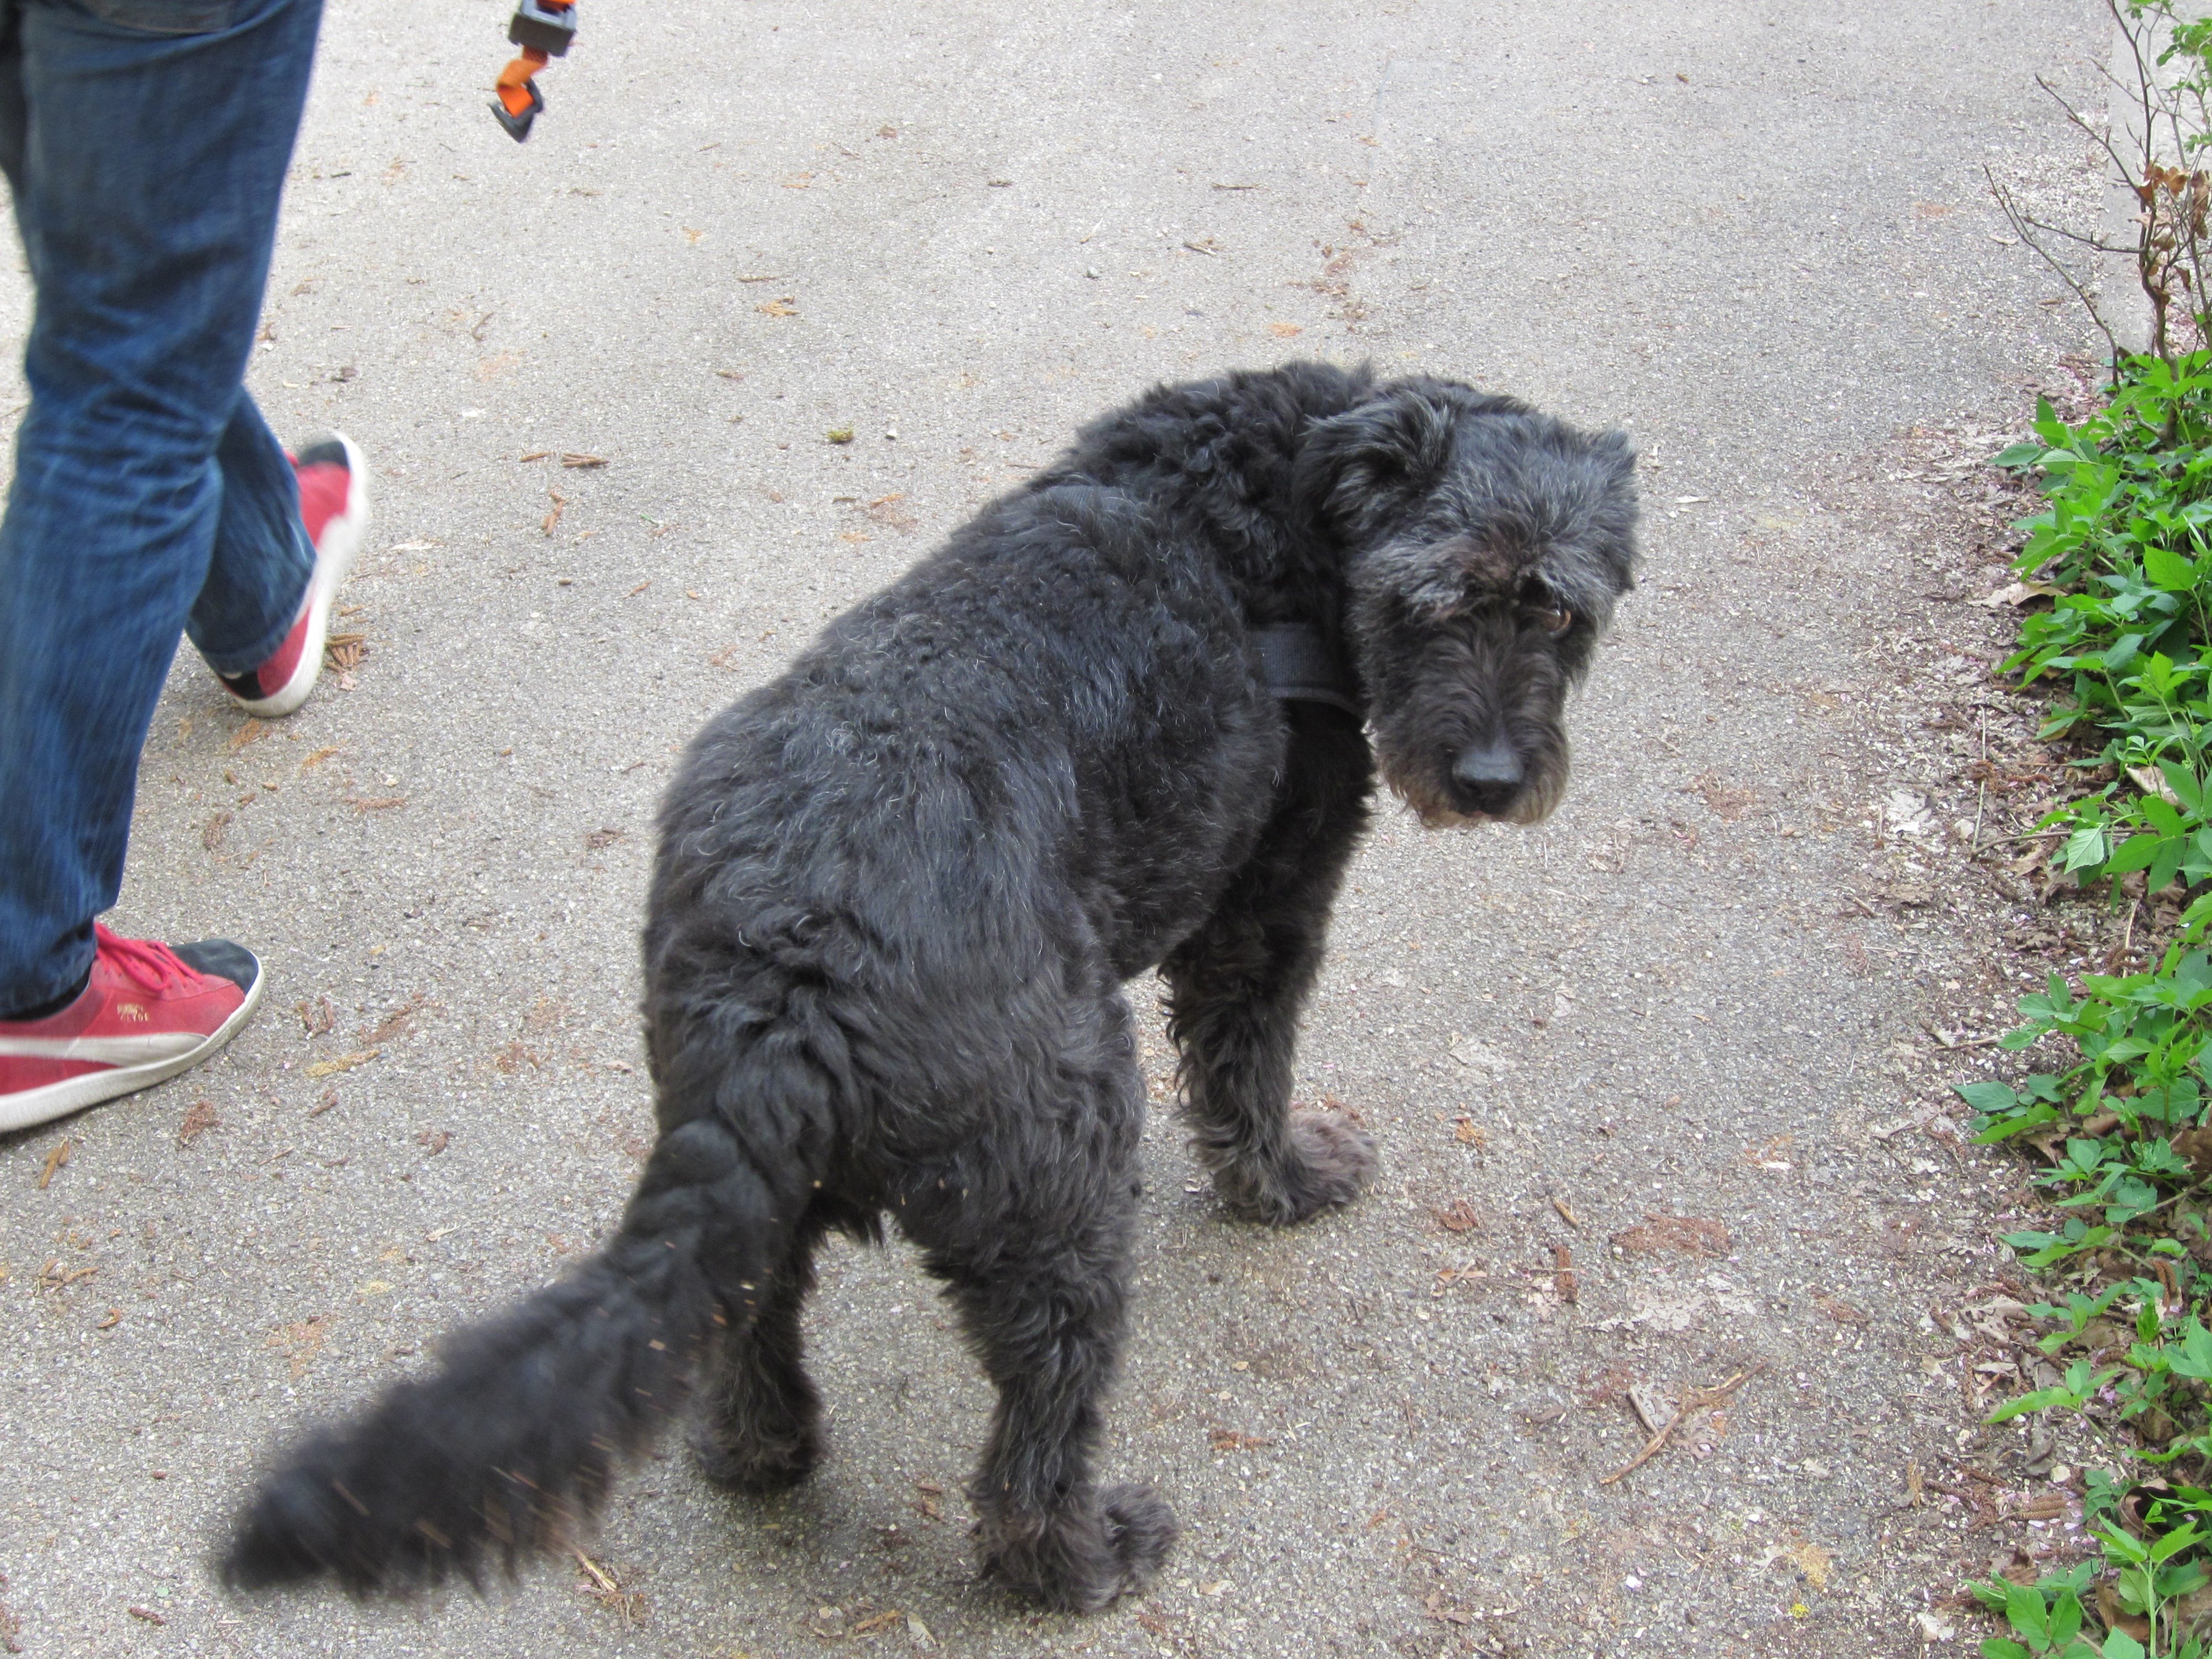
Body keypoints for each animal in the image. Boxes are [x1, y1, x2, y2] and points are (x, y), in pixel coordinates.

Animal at [222, 361, 1638, 1613]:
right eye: (1441, 599)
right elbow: (1250, 1074)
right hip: (1068, 1183)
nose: (1494, 778)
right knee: (1029, 1449)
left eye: (1557, 612)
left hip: (759, 1203)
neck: (1276, 501)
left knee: (748, 1333)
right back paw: (1082, 1559)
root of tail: (788, 978)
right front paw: (1284, 1184)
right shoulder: (1265, 912)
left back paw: (758, 1455)